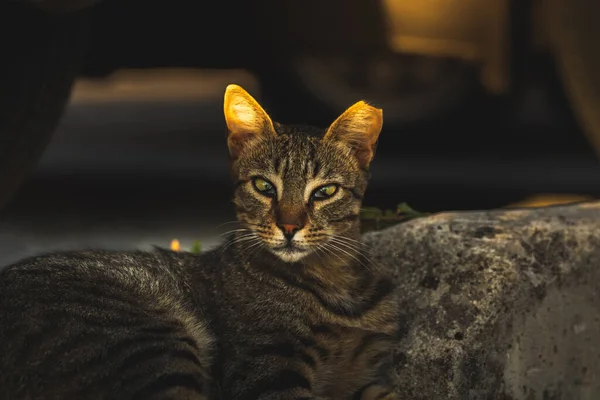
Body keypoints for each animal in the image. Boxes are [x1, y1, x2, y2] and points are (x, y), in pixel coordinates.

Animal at [1, 85, 404, 400]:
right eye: (263, 186)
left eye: (325, 191)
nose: (289, 226)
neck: (334, 282)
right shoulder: (271, 372)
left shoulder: (365, 377)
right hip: (152, 343)